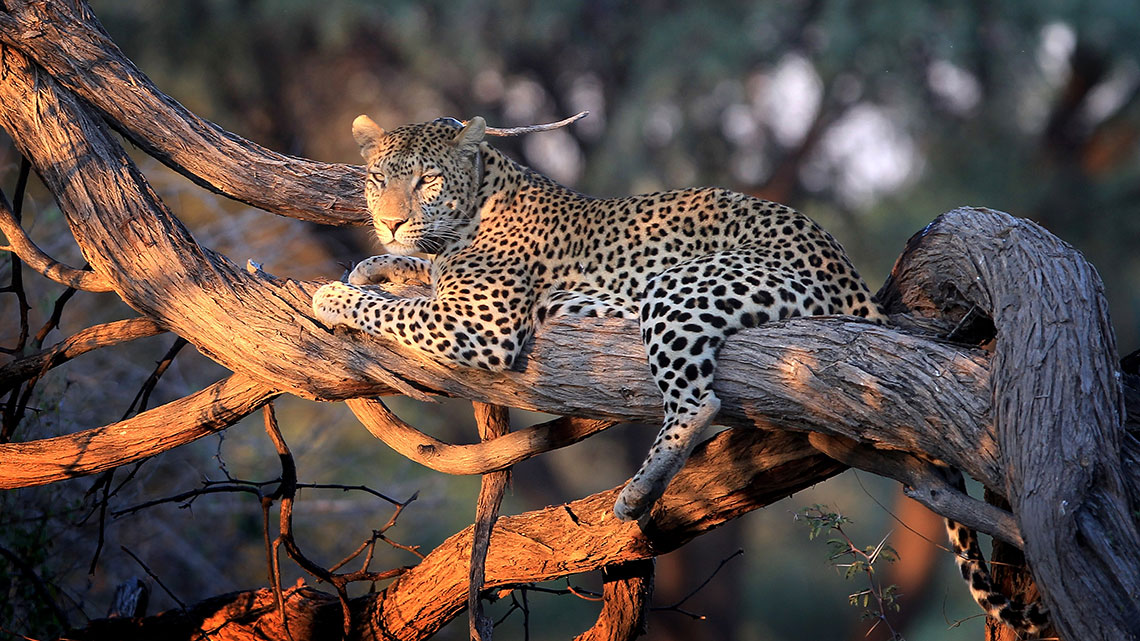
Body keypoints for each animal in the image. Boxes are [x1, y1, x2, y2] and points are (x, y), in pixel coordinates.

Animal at [312, 114, 1047, 635]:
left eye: (426, 181)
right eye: (379, 181)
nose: (389, 219)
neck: (478, 201)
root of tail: (852, 280)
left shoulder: (480, 321)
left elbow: (394, 309)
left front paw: (334, 294)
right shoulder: (447, 285)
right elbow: (411, 275)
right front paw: (374, 262)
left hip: (681, 285)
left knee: (697, 404)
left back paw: (638, 493)